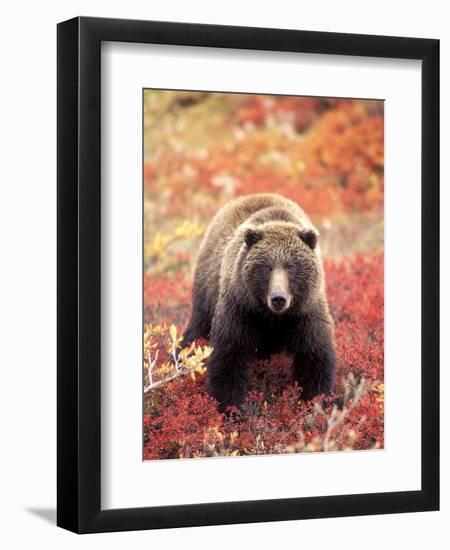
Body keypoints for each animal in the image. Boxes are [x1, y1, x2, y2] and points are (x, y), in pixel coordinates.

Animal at [184, 192, 338, 412]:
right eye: (267, 267)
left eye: (291, 266)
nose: (278, 298)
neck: (272, 317)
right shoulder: (241, 309)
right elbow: (228, 355)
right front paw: (230, 408)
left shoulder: (305, 313)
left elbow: (315, 357)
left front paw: (317, 402)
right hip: (207, 288)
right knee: (197, 327)